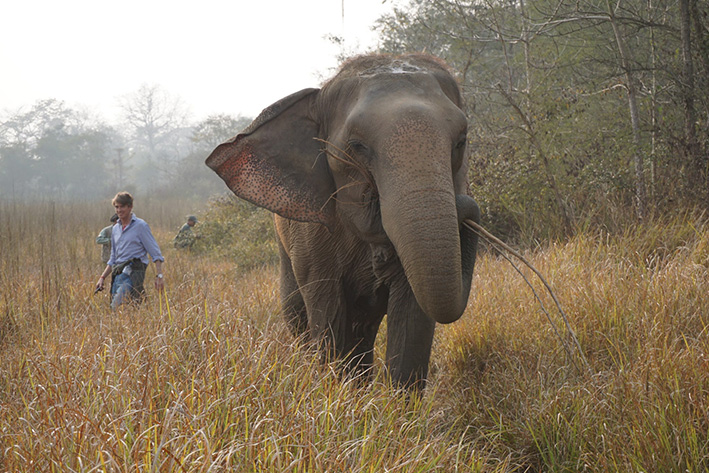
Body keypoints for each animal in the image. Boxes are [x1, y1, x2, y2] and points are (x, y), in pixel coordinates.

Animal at [206, 53, 480, 389]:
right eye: (357, 146)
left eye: (461, 141)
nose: (463, 205)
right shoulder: (312, 235)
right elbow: (328, 311)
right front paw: (336, 391)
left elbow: (413, 315)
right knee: (298, 315)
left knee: (364, 330)